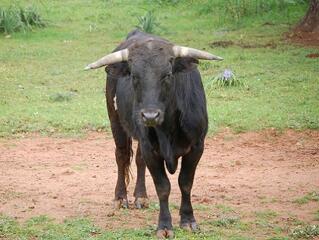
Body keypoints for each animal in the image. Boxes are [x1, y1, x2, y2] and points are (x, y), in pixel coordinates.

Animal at [86, 30, 224, 238]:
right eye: (134, 76)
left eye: (167, 75)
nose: (150, 116)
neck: (169, 127)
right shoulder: (151, 150)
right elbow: (163, 187)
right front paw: (165, 226)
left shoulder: (197, 147)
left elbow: (185, 182)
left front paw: (188, 220)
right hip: (115, 122)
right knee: (121, 156)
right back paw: (120, 198)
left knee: (138, 160)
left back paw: (140, 197)